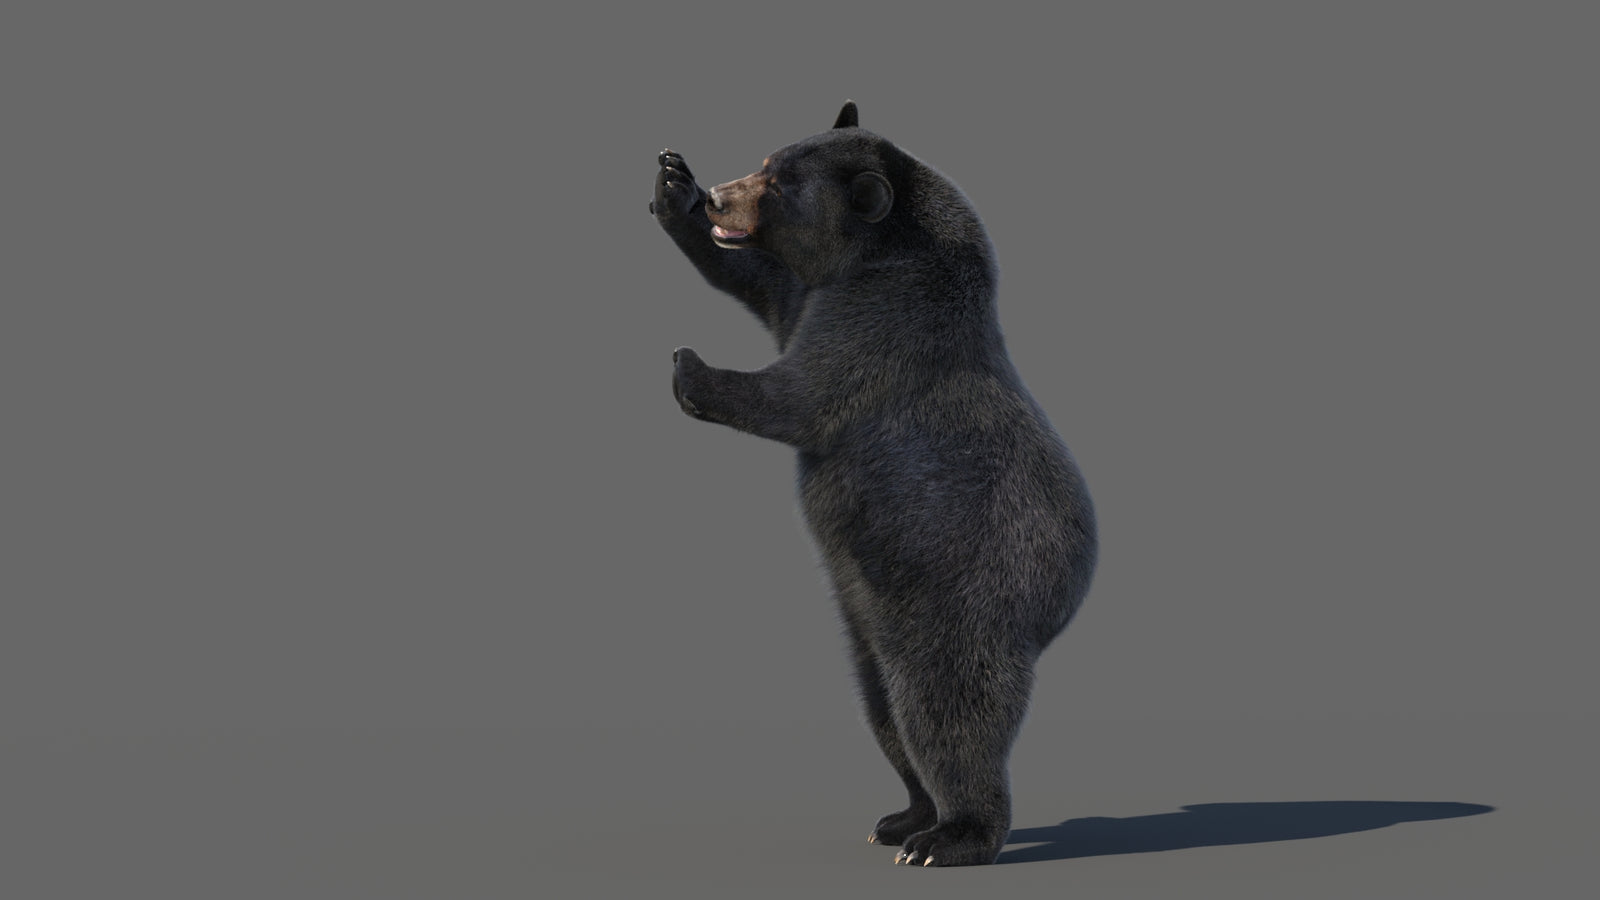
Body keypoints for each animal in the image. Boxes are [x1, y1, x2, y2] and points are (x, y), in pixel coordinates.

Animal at [649, 101, 1097, 867]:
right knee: (882, 707)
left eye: (780, 184)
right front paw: (674, 185)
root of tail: (1065, 601)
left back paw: (951, 836)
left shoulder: (884, 316)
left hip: (965, 599)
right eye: (766, 162)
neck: (880, 251)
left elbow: (805, 393)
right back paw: (904, 816)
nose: (721, 199)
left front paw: (690, 366)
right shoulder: (812, 290)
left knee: (945, 714)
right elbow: (758, 281)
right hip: (870, 617)